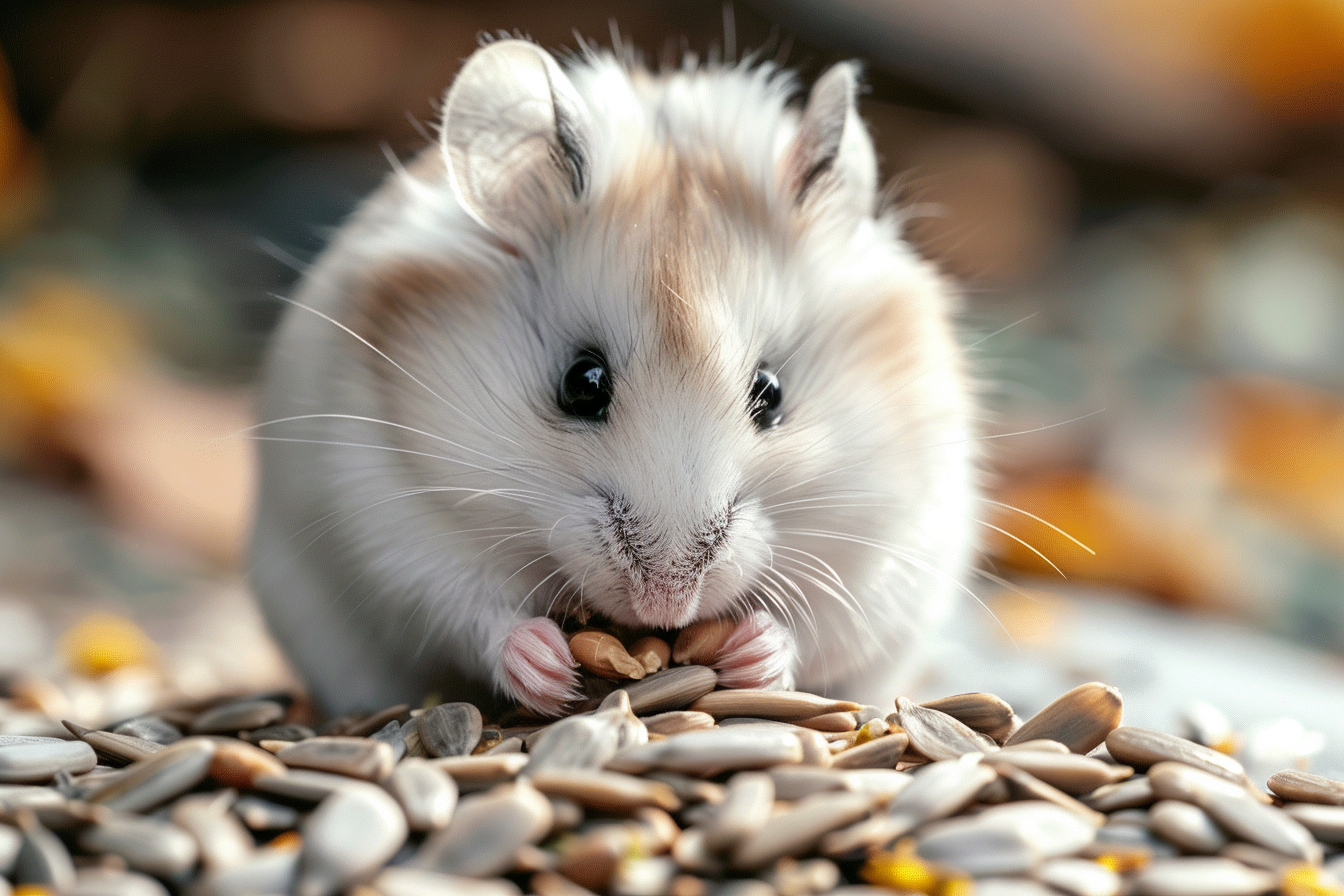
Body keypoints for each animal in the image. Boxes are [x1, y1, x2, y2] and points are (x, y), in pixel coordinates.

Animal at [249, 38, 978, 717]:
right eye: (582, 382)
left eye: (771, 395)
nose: (666, 605)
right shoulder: (388, 516)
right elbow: (469, 609)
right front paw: (552, 670)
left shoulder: (892, 544)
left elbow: (823, 625)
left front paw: (752, 654)